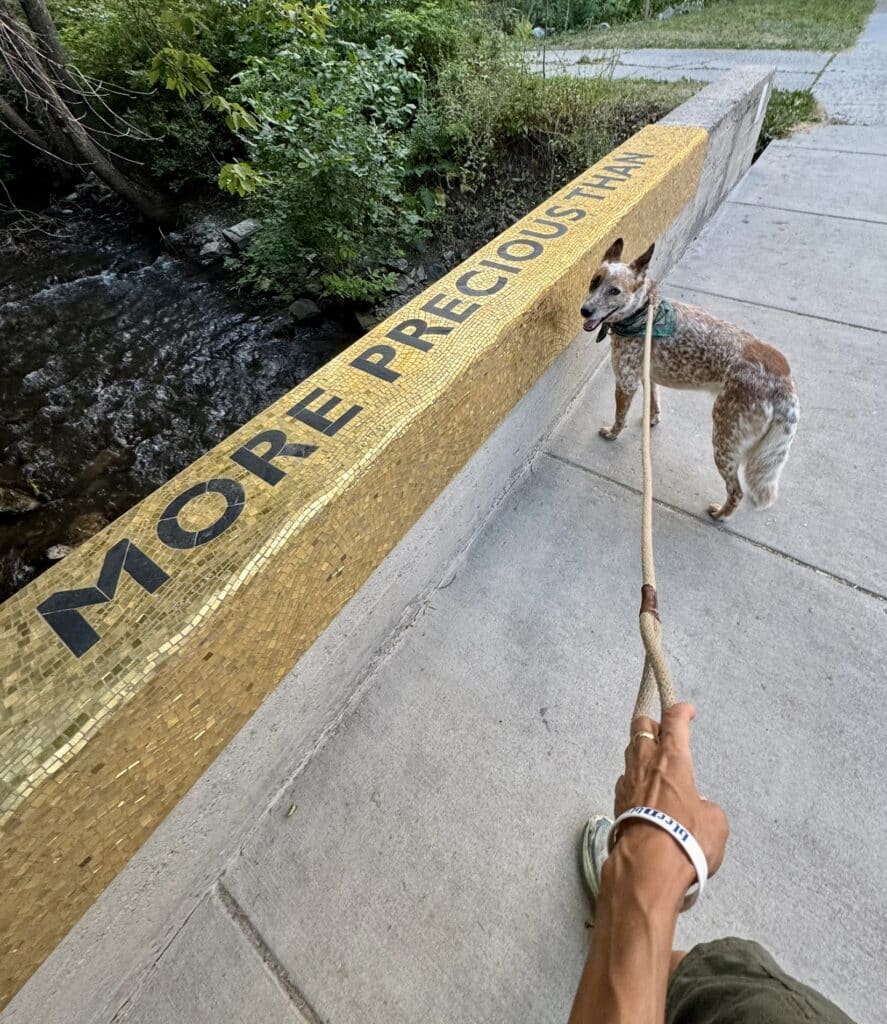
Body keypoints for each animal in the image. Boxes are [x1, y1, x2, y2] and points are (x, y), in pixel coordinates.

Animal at [580, 238, 799, 519]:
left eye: (614, 291)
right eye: (594, 282)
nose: (585, 310)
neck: (641, 313)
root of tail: (784, 379)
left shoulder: (626, 382)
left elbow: (620, 416)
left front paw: (612, 433)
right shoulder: (647, 375)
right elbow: (654, 400)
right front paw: (652, 419)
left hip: (724, 439)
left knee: (736, 491)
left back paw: (720, 514)